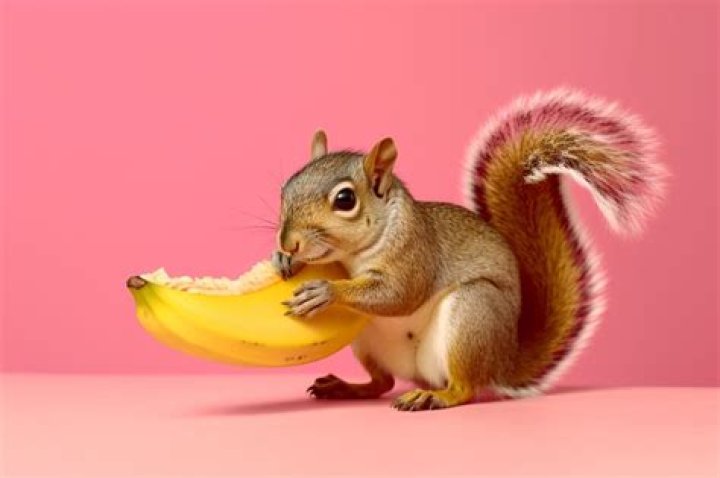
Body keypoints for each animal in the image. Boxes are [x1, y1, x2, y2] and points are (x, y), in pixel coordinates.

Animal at [271, 89, 666, 411]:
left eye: (345, 200)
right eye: (286, 186)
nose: (288, 242)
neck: (352, 257)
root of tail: (504, 362)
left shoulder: (416, 252)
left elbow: (399, 294)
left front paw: (326, 291)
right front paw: (284, 260)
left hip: (473, 314)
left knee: (464, 388)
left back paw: (434, 397)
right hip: (366, 341)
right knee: (382, 382)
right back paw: (346, 388)